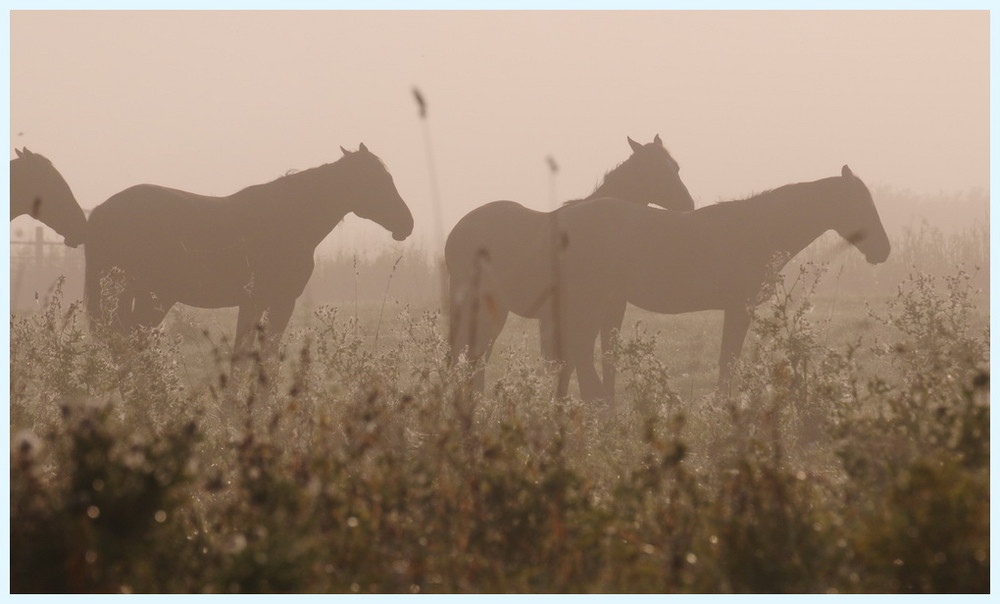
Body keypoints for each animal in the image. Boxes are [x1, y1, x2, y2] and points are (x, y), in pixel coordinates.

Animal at [86, 143, 414, 356]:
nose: (407, 223)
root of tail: (101, 211)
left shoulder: (253, 304)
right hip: (151, 298)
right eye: (377, 181)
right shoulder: (279, 302)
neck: (291, 219)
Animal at [446, 134, 696, 394]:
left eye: (675, 167)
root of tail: (457, 230)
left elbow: (601, 360)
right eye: (654, 170)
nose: (688, 204)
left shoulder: (612, 309)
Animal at [512, 165, 888, 404]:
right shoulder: (738, 308)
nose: (883, 250)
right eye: (859, 203)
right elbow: (728, 361)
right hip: (588, 301)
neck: (759, 228)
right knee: (576, 352)